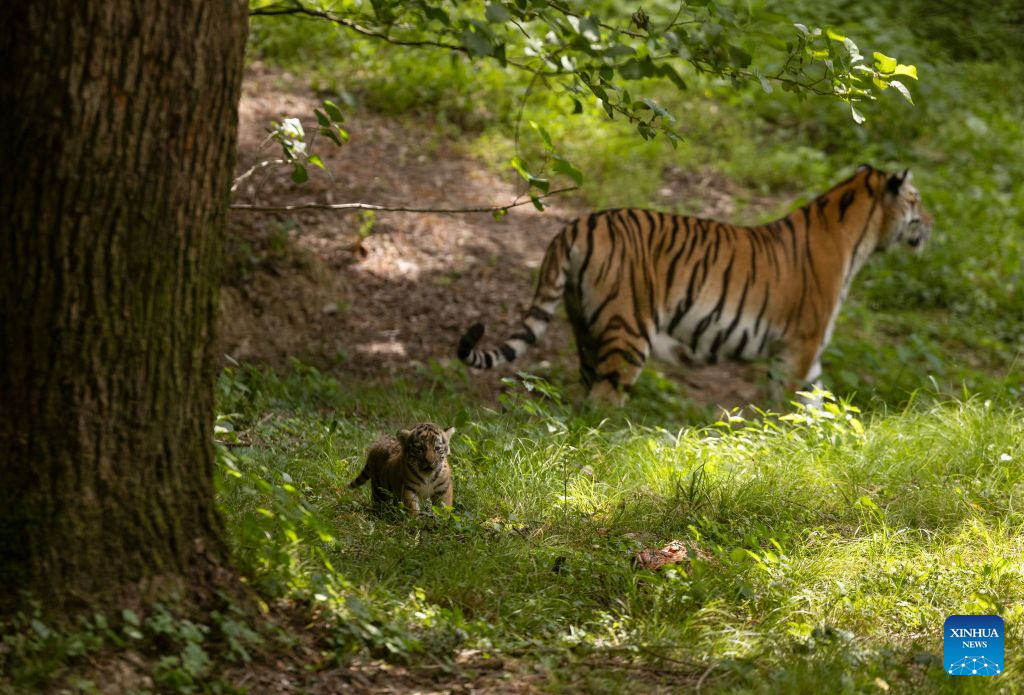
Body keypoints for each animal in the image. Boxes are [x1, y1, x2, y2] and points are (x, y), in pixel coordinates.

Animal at [458, 165, 932, 403]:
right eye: (916, 201)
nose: (930, 223)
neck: (859, 235)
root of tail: (575, 226)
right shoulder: (799, 346)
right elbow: (788, 404)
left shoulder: (808, 356)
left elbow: (813, 404)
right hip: (629, 332)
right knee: (604, 402)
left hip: (586, 327)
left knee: (585, 392)